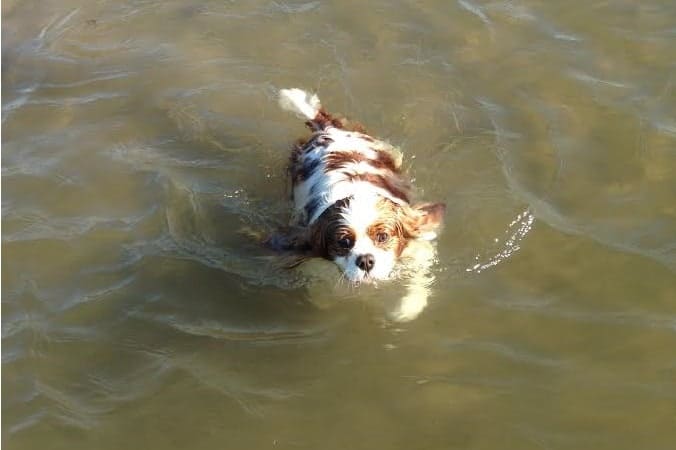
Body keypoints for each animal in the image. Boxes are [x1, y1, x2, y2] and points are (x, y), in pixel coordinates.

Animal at [266, 88, 446, 320]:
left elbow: (410, 297)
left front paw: (402, 311)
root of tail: (329, 130)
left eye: (382, 237)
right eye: (344, 242)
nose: (366, 260)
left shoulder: (418, 252)